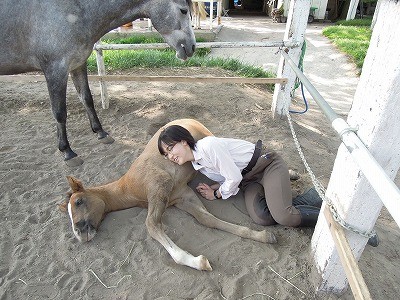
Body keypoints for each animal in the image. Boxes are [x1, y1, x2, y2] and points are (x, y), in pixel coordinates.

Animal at [0, 0, 196, 166]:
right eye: (183, 10)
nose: (192, 47)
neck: (75, 10)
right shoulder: (55, 70)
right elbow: (60, 112)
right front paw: (67, 151)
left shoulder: (77, 64)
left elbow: (87, 99)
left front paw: (101, 132)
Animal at [60, 118, 278, 270]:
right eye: (68, 213)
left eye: (79, 201)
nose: (79, 234)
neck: (130, 187)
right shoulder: (182, 197)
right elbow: (208, 220)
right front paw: (264, 236)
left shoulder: (159, 186)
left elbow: (151, 225)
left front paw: (197, 262)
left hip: (208, 136)